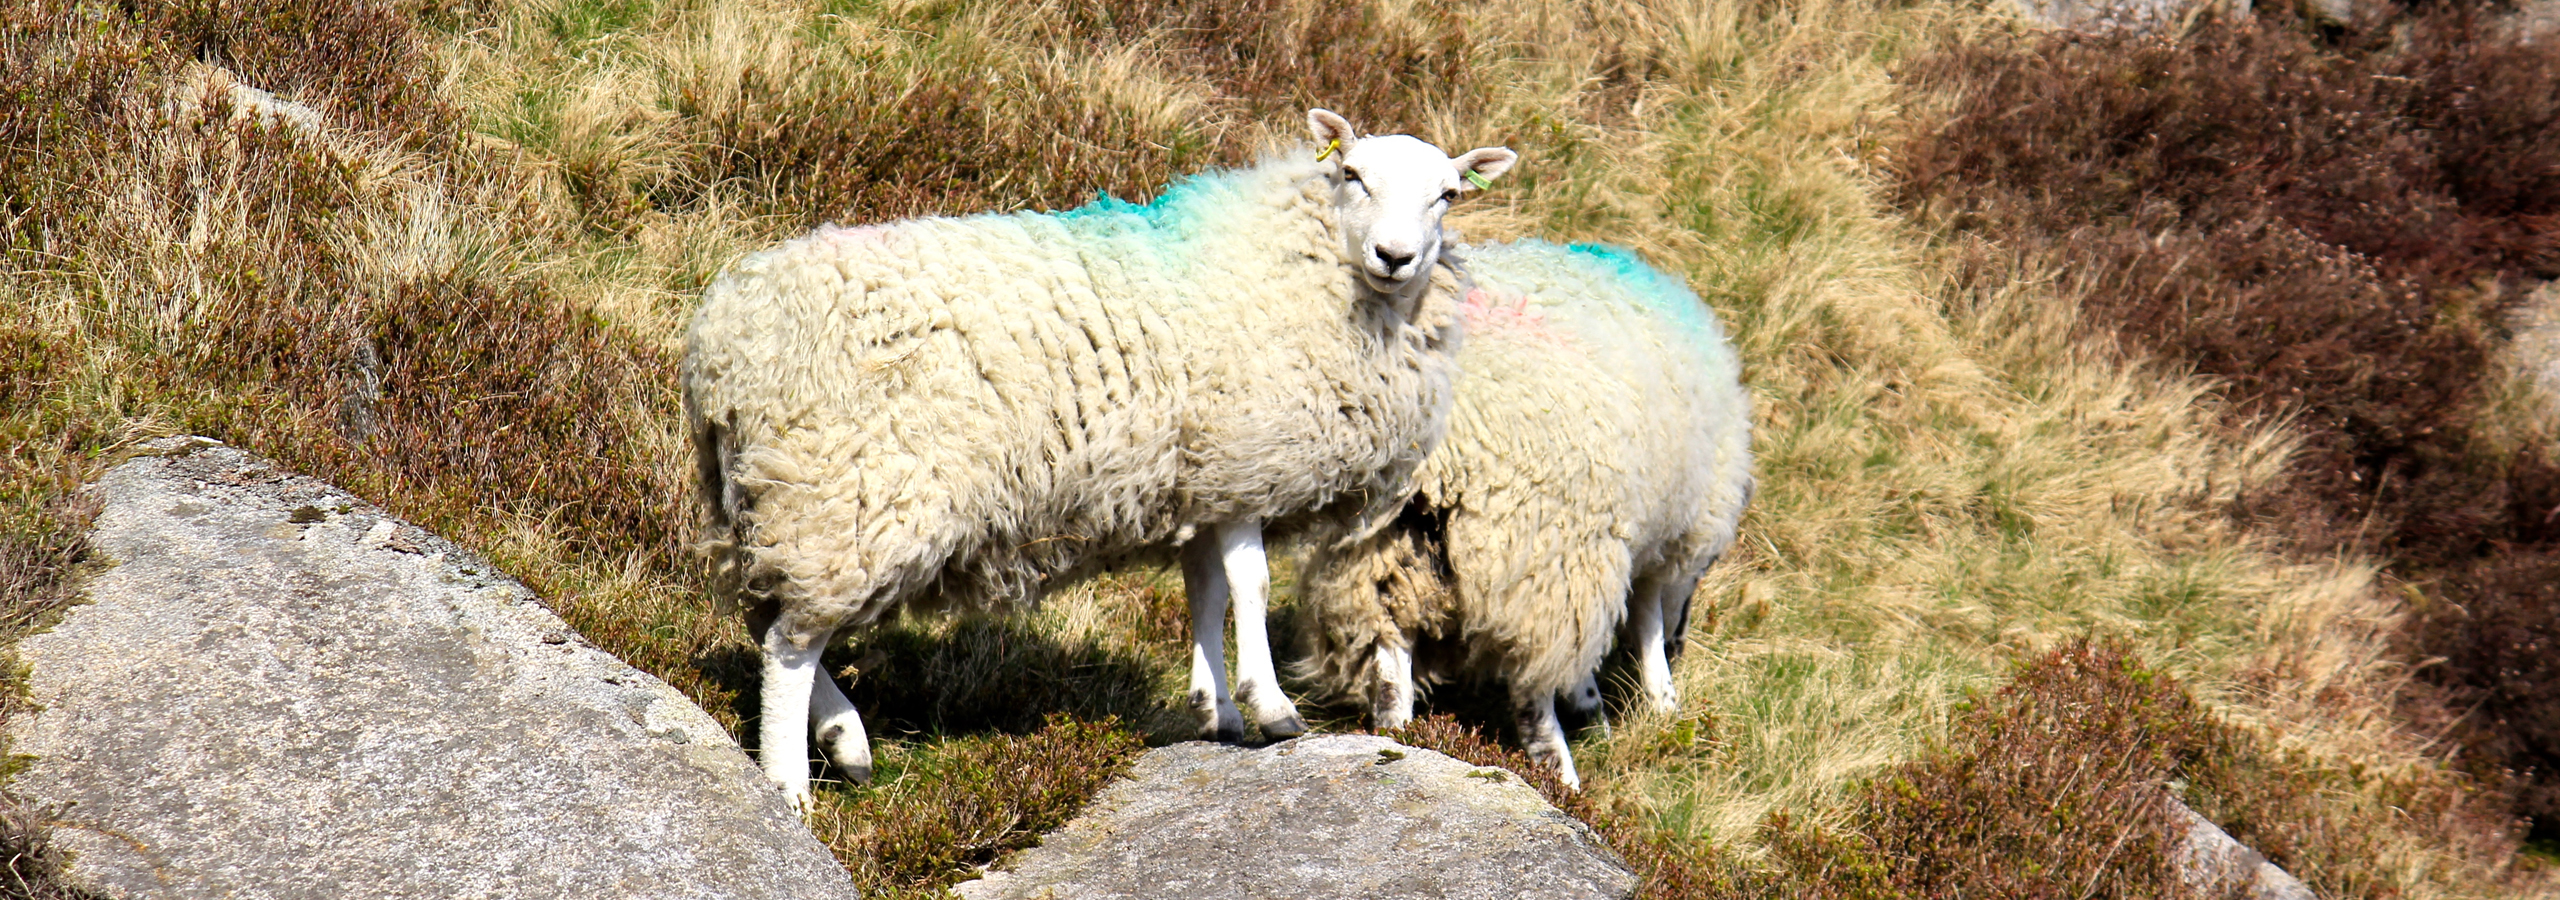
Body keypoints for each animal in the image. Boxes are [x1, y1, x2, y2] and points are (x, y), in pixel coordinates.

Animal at [682, 108, 1518, 808]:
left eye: (1448, 194)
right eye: (1352, 174)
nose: (1395, 257)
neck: (1306, 267)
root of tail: (722, 335)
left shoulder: (1200, 481)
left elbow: (1205, 591)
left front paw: (1216, 710)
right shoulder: (1244, 460)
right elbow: (1250, 584)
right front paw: (1272, 705)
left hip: (775, 495)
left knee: (767, 615)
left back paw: (843, 740)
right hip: (845, 488)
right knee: (791, 643)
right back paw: (789, 784)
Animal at [1295, 238, 1754, 789]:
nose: (1683, 642)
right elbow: (1645, 617)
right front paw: (1651, 703)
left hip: (1378, 549)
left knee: (1389, 657)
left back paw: (1402, 739)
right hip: (1538, 553)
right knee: (1531, 695)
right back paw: (1561, 776)